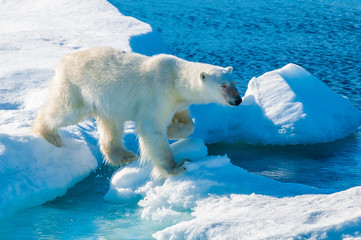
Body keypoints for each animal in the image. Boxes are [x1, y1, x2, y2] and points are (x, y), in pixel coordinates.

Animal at [33, 47, 240, 176]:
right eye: (223, 85)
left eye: (235, 83)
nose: (237, 100)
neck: (174, 79)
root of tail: (64, 59)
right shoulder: (157, 95)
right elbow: (151, 129)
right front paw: (175, 167)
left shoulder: (178, 101)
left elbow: (186, 122)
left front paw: (173, 129)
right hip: (77, 87)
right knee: (66, 111)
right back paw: (49, 134)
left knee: (112, 125)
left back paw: (124, 155)